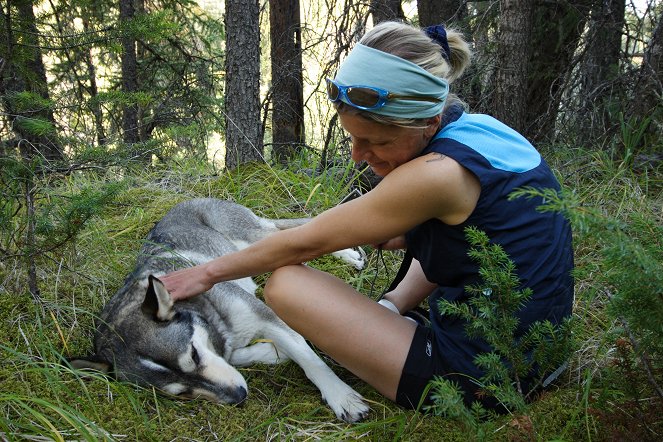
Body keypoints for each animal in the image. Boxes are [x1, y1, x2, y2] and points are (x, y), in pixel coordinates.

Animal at [70, 199, 370, 424]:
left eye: (193, 354)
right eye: (182, 393)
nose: (239, 396)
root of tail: (187, 200)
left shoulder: (266, 316)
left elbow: (310, 360)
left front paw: (341, 397)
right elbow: (236, 355)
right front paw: (272, 353)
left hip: (257, 239)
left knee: (298, 231)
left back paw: (348, 254)